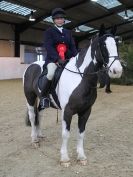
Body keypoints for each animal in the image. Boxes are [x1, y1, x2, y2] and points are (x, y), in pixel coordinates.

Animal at [22, 24, 122, 167]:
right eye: (103, 45)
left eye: (117, 44)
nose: (117, 71)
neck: (81, 78)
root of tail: (31, 66)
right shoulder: (67, 111)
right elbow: (65, 134)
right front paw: (65, 159)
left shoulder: (86, 111)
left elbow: (81, 133)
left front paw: (81, 157)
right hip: (30, 97)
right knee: (32, 116)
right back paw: (34, 140)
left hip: (42, 100)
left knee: (39, 115)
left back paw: (39, 135)